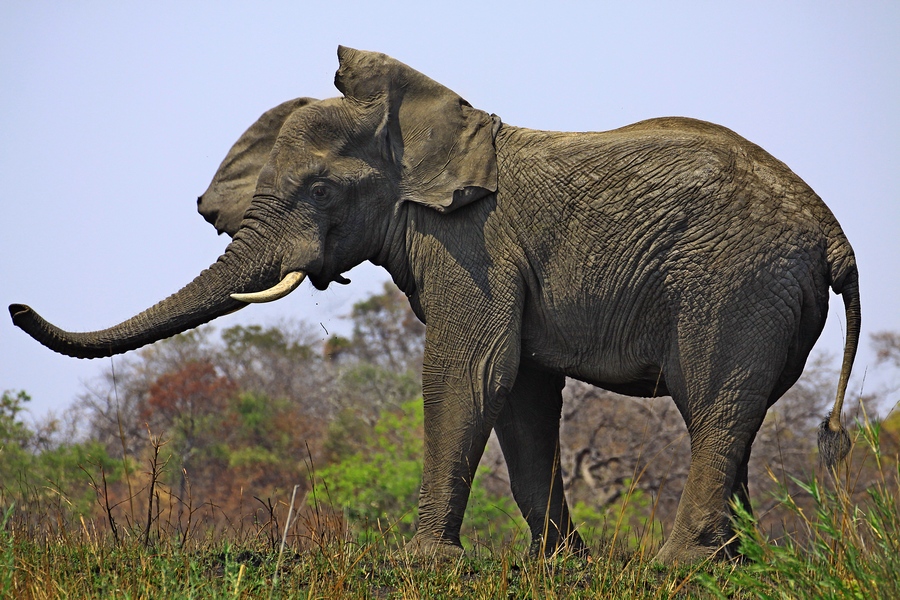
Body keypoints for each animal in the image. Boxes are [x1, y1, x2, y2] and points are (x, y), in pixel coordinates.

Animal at [12, 45, 856, 564]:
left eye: (322, 192)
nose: (15, 309)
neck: (421, 121)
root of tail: (833, 235)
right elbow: (520, 393)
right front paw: (560, 567)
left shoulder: (471, 247)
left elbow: (470, 371)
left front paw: (423, 562)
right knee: (736, 414)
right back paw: (734, 564)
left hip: (736, 284)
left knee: (714, 403)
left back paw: (678, 566)